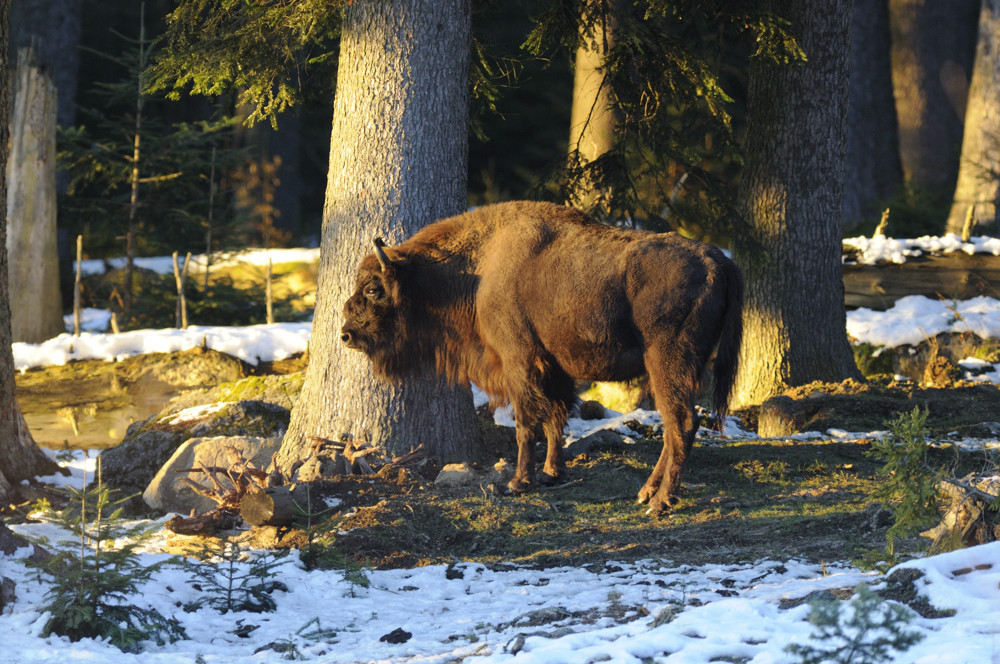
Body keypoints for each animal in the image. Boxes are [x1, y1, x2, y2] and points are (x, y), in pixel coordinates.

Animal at [344, 200, 744, 510]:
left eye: (374, 289)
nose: (347, 334)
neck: (481, 268)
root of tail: (718, 260)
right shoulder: (554, 367)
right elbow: (556, 416)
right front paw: (552, 473)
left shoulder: (519, 361)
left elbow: (527, 424)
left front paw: (519, 483)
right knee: (674, 425)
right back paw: (646, 493)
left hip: (668, 362)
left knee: (682, 422)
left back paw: (660, 502)